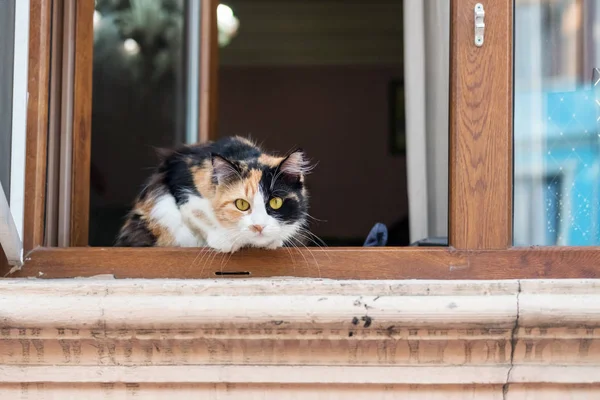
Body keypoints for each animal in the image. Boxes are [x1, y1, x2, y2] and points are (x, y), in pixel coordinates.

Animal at [114, 136, 312, 252]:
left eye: (275, 202)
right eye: (241, 204)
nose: (258, 226)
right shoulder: (182, 188)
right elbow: (199, 216)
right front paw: (225, 241)